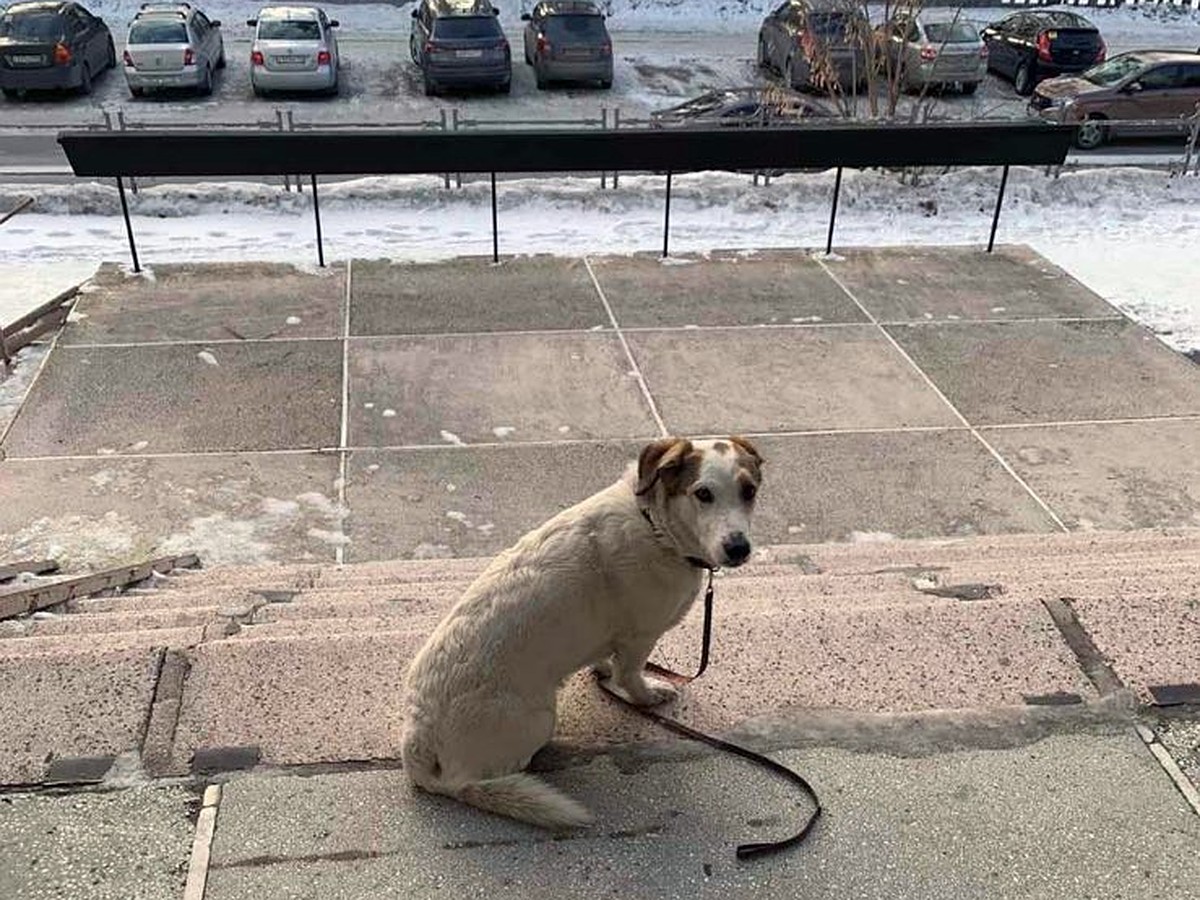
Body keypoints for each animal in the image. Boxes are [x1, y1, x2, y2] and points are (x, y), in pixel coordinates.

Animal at [398, 436, 763, 830]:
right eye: (703, 493)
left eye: (749, 490)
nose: (739, 548)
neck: (655, 525)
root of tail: (417, 742)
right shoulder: (640, 637)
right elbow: (632, 678)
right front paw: (648, 696)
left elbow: (606, 659)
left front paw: (601, 668)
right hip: (538, 719)